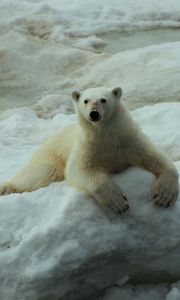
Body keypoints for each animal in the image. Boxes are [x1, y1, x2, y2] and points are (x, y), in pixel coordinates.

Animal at [0, 86, 179, 216]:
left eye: (103, 99)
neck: (106, 136)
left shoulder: (129, 140)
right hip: (51, 154)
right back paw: (6, 187)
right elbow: (81, 171)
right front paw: (118, 202)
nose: (94, 114)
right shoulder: (87, 147)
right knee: (39, 173)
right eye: (85, 100)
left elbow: (155, 158)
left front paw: (163, 196)